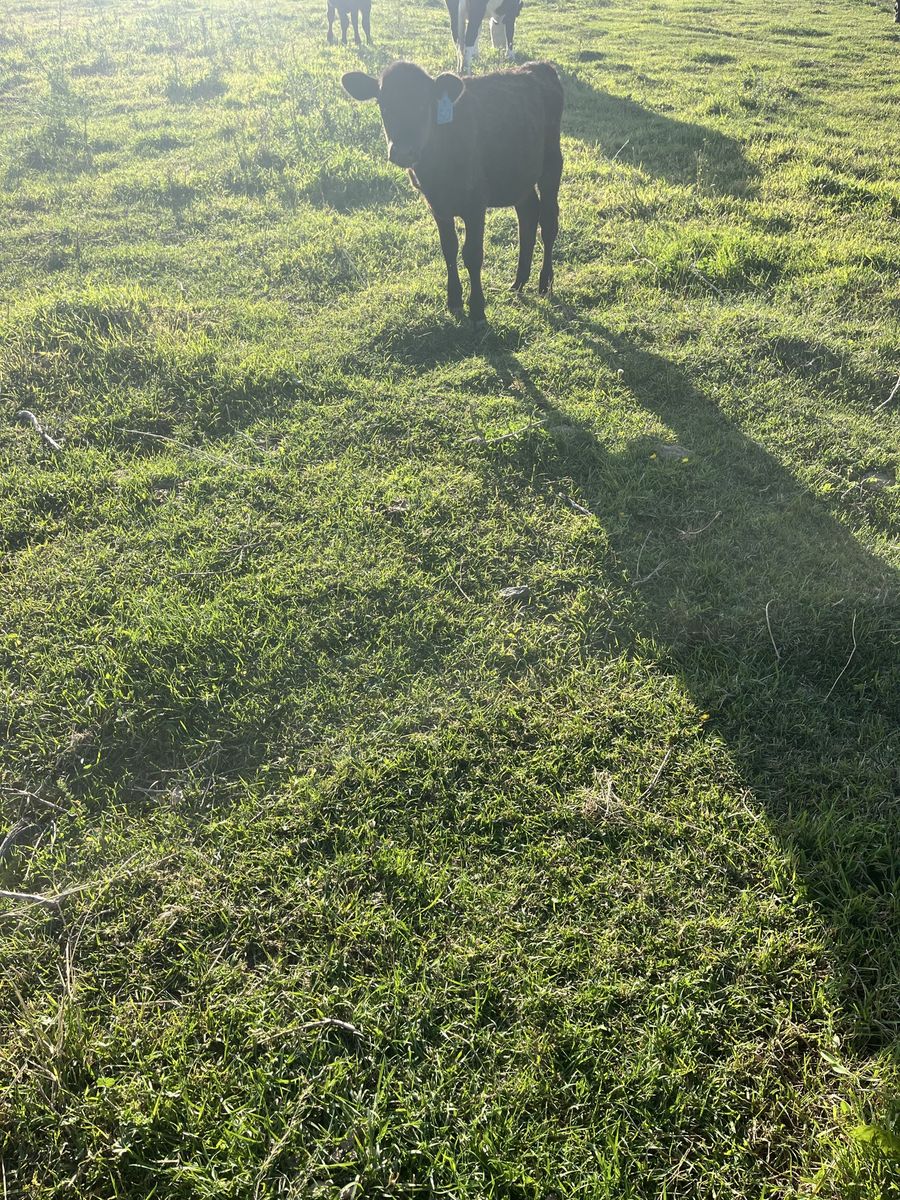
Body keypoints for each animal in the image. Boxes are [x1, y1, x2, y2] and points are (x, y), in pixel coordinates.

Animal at [341, 60, 563, 325]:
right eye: (384, 105)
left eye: (423, 104)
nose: (403, 152)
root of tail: (539, 66)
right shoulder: (436, 204)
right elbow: (449, 248)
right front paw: (454, 300)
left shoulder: (476, 202)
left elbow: (472, 254)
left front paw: (477, 309)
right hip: (520, 174)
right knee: (528, 214)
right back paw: (518, 282)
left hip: (552, 163)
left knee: (548, 222)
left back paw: (544, 283)